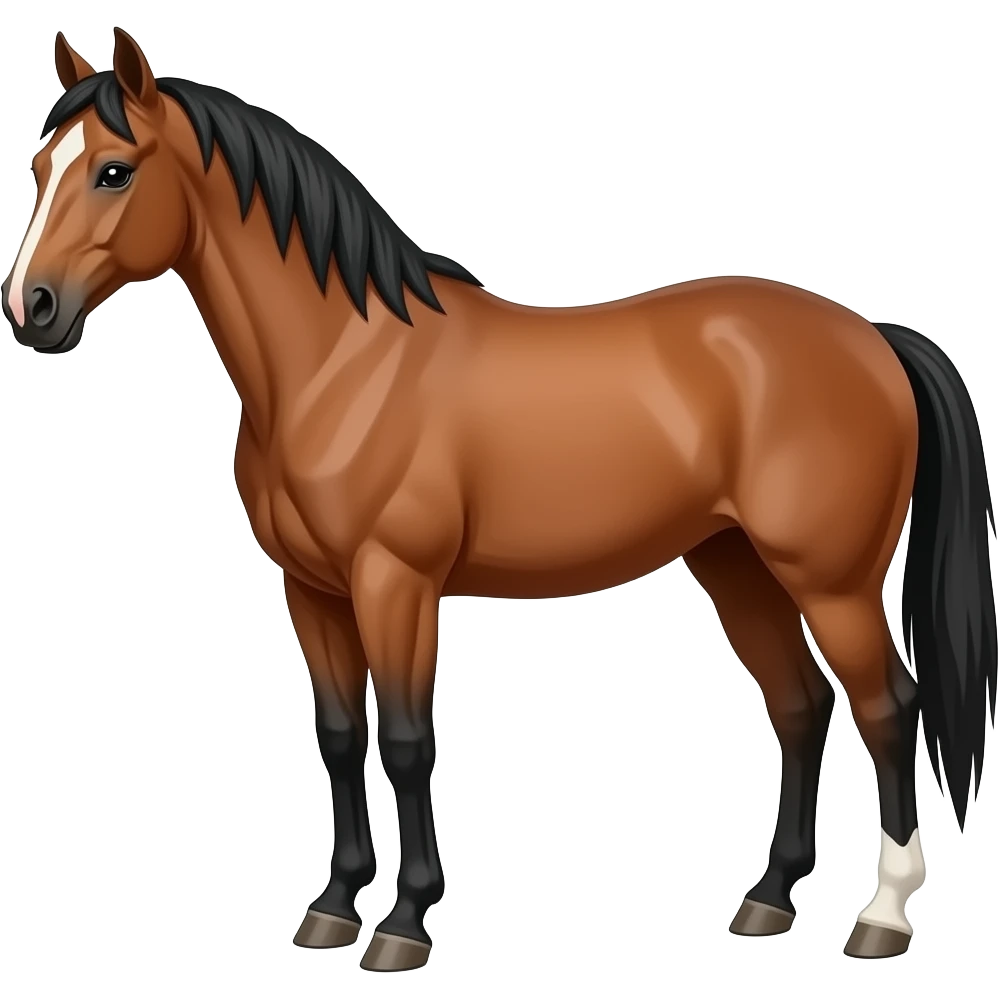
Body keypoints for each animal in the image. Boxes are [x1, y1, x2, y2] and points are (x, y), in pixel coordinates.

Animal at [3, 28, 995, 971]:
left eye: (114, 169)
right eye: (41, 168)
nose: (31, 309)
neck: (342, 362)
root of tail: (873, 335)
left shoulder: (395, 583)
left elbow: (408, 741)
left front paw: (403, 925)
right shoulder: (311, 590)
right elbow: (338, 736)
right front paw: (332, 909)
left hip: (831, 583)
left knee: (887, 709)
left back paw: (882, 918)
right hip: (735, 565)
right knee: (799, 707)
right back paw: (767, 901)